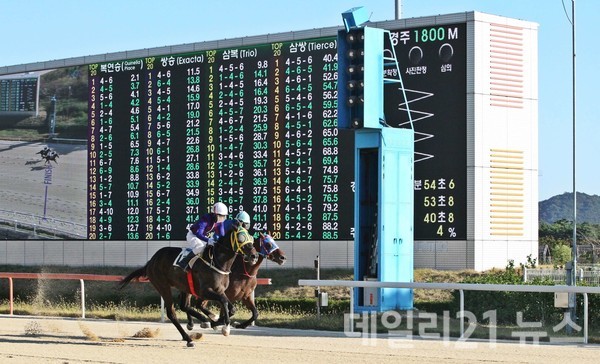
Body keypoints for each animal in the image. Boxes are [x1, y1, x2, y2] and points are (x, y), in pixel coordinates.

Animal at [118, 225, 256, 346]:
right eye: (241, 238)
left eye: (251, 237)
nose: (254, 255)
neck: (217, 262)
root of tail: (151, 261)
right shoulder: (205, 291)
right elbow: (223, 302)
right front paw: (223, 327)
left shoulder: (219, 290)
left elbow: (230, 307)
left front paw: (217, 322)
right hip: (163, 286)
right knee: (172, 313)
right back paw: (189, 339)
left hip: (184, 287)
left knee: (184, 306)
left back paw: (202, 323)